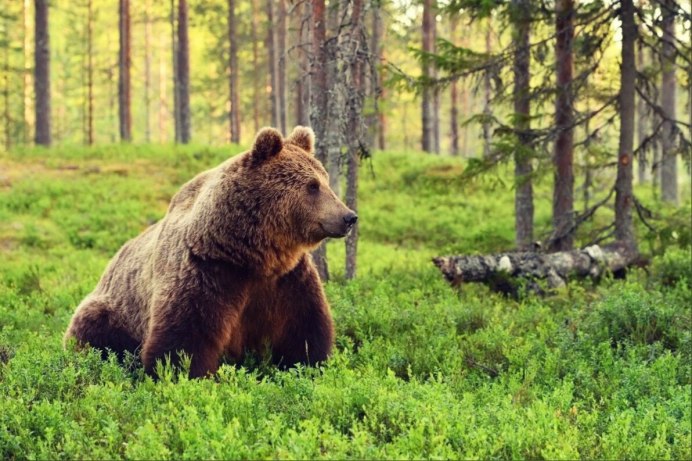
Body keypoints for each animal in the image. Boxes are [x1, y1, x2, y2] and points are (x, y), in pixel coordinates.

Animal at [63, 126, 356, 378]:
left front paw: (310, 365)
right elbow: (185, 336)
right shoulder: (208, 271)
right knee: (92, 330)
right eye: (312, 186)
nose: (349, 217)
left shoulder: (287, 278)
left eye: (325, 181)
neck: (253, 255)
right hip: (113, 311)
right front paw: (185, 375)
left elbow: (305, 327)